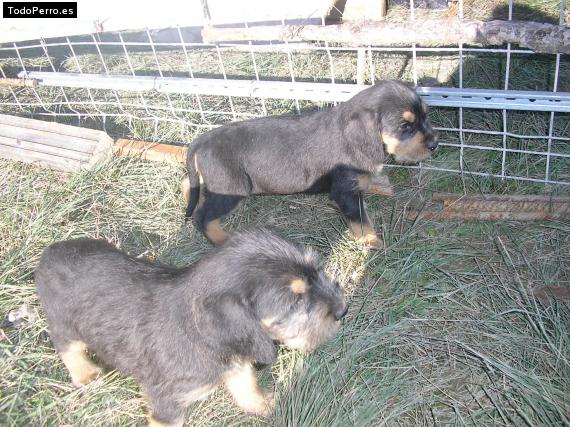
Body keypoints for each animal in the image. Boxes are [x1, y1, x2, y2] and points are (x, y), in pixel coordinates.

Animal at [36, 229, 346, 427]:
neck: (200, 336)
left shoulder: (236, 363)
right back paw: (84, 373)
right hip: (64, 324)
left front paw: (264, 406)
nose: (343, 310)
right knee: (65, 346)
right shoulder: (167, 405)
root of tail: (50, 253)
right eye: (295, 300)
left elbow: (247, 386)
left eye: (318, 270)